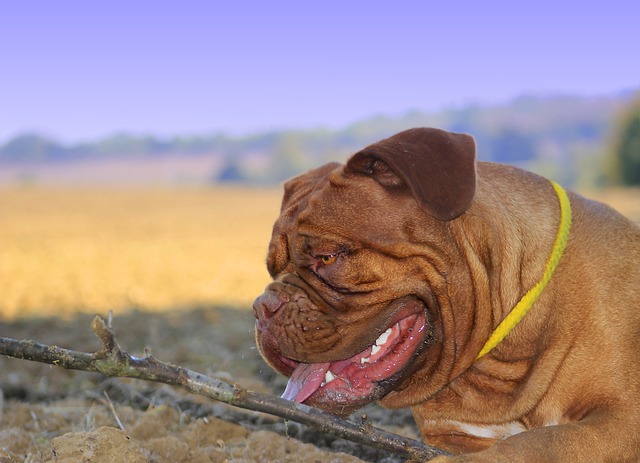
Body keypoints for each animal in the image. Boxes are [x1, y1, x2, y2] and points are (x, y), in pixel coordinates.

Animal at [252, 128, 636, 463]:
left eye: (328, 256)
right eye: (271, 268)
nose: (262, 307)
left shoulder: (622, 420)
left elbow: (539, 443)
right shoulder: (454, 434)